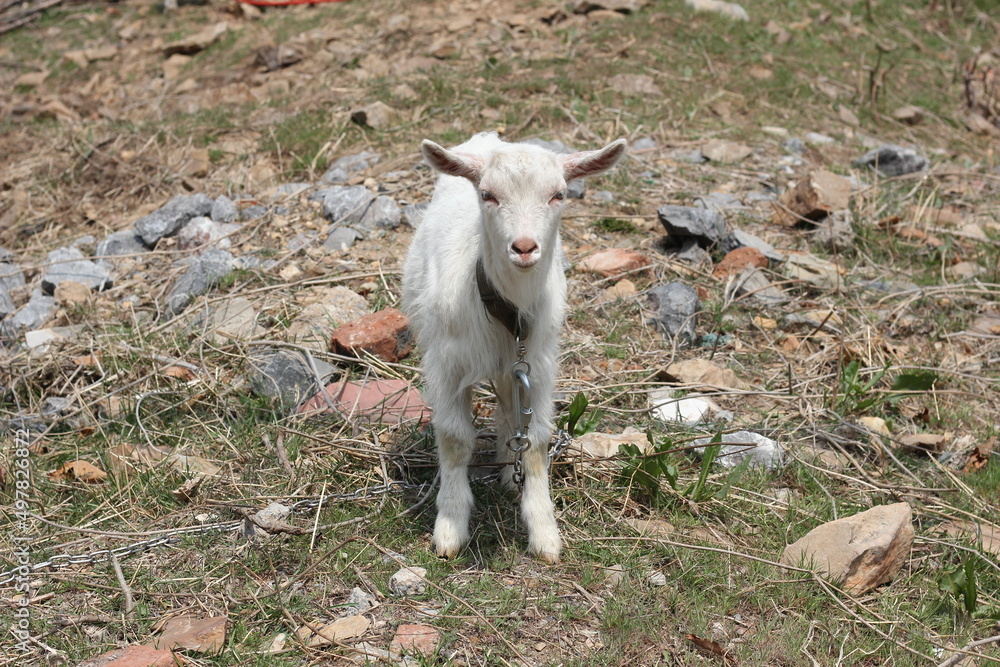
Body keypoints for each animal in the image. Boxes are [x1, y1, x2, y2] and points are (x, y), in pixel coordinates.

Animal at [402, 132, 627, 563]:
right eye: (488, 195)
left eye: (558, 194)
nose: (524, 248)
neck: (509, 311)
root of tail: (485, 139)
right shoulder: (445, 362)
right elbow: (455, 438)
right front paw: (450, 527)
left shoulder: (537, 364)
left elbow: (536, 440)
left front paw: (544, 532)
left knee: (510, 410)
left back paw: (510, 470)